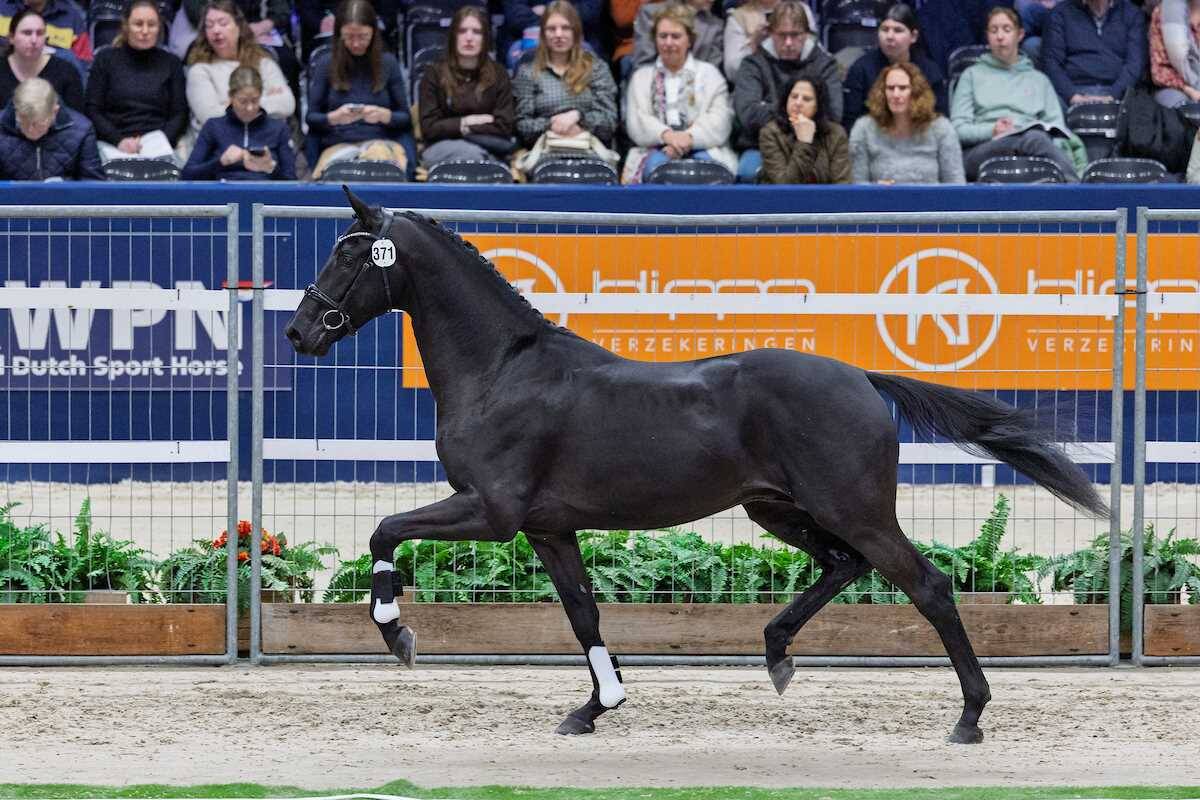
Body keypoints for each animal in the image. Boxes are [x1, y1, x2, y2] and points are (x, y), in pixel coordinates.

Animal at [284, 188, 1108, 744]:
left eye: (351, 251)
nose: (301, 330)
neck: (503, 370)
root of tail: (863, 379)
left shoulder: (491, 512)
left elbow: (384, 531)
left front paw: (398, 637)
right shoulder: (548, 529)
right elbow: (582, 611)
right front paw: (595, 707)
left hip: (854, 509)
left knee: (927, 586)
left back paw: (969, 715)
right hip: (778, 509)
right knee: (843, 567)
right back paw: (776, 655)